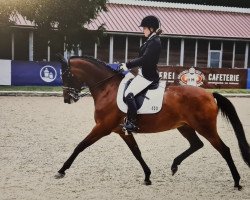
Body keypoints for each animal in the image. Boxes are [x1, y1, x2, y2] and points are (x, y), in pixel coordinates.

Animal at [55, 54, 250, 190]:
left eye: (66, 75)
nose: (67, 99)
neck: (107, 89)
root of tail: (210, 95)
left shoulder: (102, 127)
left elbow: (80, 146)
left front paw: (61, 170)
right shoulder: (122, 130)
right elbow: (136, 152)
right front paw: (148, 176)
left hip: (205, 128)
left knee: (224, 149)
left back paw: (237, 181)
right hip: (185, 127)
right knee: (196, 144)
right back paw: (174, 165)